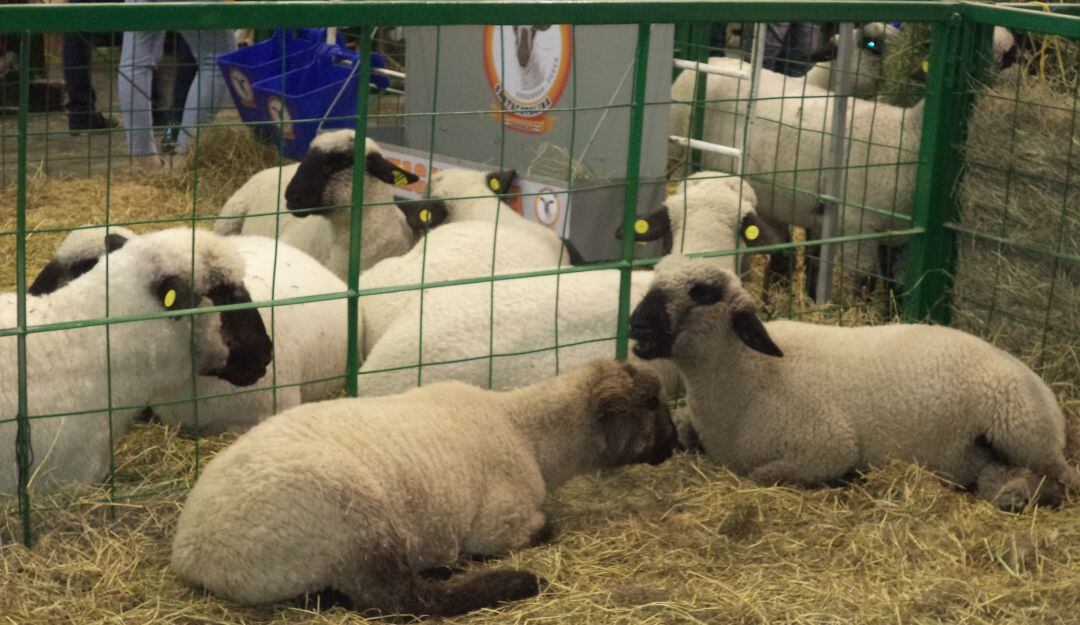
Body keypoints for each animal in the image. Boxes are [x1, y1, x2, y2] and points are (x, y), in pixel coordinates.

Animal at [171, 359, 676, 616]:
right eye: (652, 404)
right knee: (402, 600)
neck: (527, 433)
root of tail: (193, 554)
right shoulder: (501, 526)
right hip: (352, 518)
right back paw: (508, 582)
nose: (677, 443)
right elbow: (547, 526)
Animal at [627, 254, 1080, 509]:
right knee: (999, 475)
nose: (635, 324)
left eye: (702, 292)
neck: (748, 374)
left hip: (1020, 426)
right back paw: (1011, 494)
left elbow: (759, 476)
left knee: (1063, 477)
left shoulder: (826, 445)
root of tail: (1040, 384)